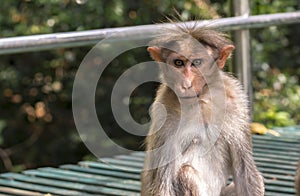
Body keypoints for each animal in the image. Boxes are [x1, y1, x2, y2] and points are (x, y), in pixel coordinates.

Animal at [141, 25, 264, 195]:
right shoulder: (163, 114)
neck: (200, 101)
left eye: (197, 62)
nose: (186, 83)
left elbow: (245, 172)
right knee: (186, 173)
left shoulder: (235, 102)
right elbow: (161, 182)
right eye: (178, 62)